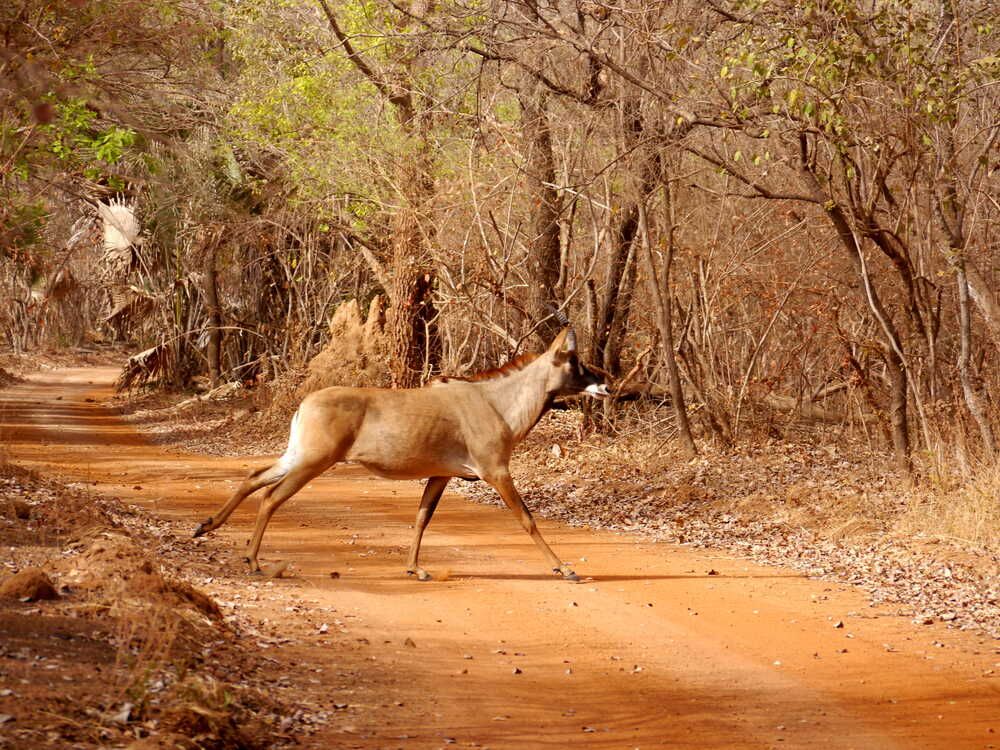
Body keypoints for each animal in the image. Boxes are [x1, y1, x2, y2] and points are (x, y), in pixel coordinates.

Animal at [190, 328, 604, 580]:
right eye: (574, 361)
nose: (606, 383)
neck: (497, 403)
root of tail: (304, 404)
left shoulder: (442, 474)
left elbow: (422, 519)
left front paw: (415, 569)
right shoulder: (495, 471)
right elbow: (527, 519)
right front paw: (565, 569)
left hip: (299, 456)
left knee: (253, 477)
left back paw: (206, 526)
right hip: (313, 461)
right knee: (271, 496)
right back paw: (253, 560)